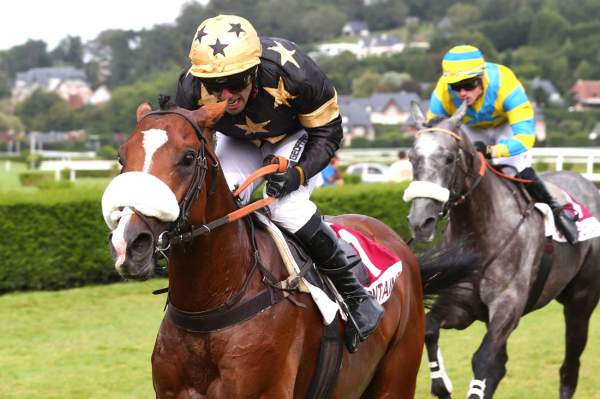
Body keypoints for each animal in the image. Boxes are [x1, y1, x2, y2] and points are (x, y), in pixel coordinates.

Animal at [404, 101, 600, 398]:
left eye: (449, 158)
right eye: (412, 158)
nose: (420, 221)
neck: (483, 232)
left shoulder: (507, 306)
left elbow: (483, 360)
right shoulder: (461, 304)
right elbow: (429, 330)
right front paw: (442, 384)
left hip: (581, 300)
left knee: (570, 367)